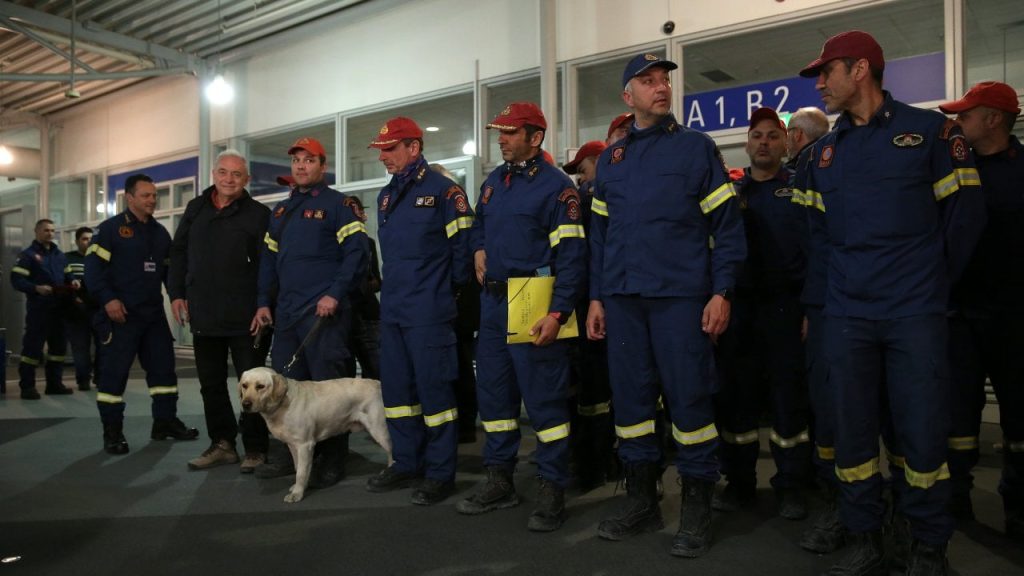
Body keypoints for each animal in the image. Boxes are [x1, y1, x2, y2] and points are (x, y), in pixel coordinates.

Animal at [238, 364, 391, 500]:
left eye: (260, 386)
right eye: (244, 385)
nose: (245, 404)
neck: (283, 403)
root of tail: (378, 383)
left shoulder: (305, 445)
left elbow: (301, 472)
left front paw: (297, 494)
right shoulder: (293, 445)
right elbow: (298, 468)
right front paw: (299, 487)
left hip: (379, 429)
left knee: (392, 451)